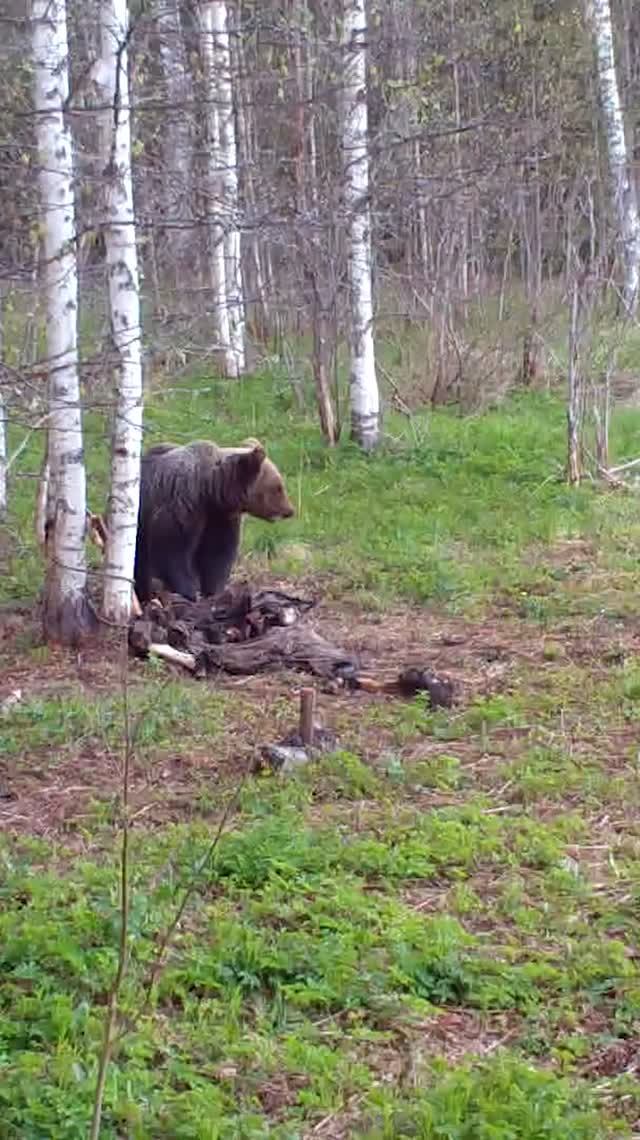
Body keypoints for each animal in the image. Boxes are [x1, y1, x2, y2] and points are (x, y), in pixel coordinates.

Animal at [134, 438, 294, 604]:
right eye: (278, 487)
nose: (290, 511)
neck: (208, 490)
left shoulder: (218, 517)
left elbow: (217, 554)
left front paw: (213, 591)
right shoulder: (180, 506)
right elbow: (171, 551)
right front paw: (190, 591)